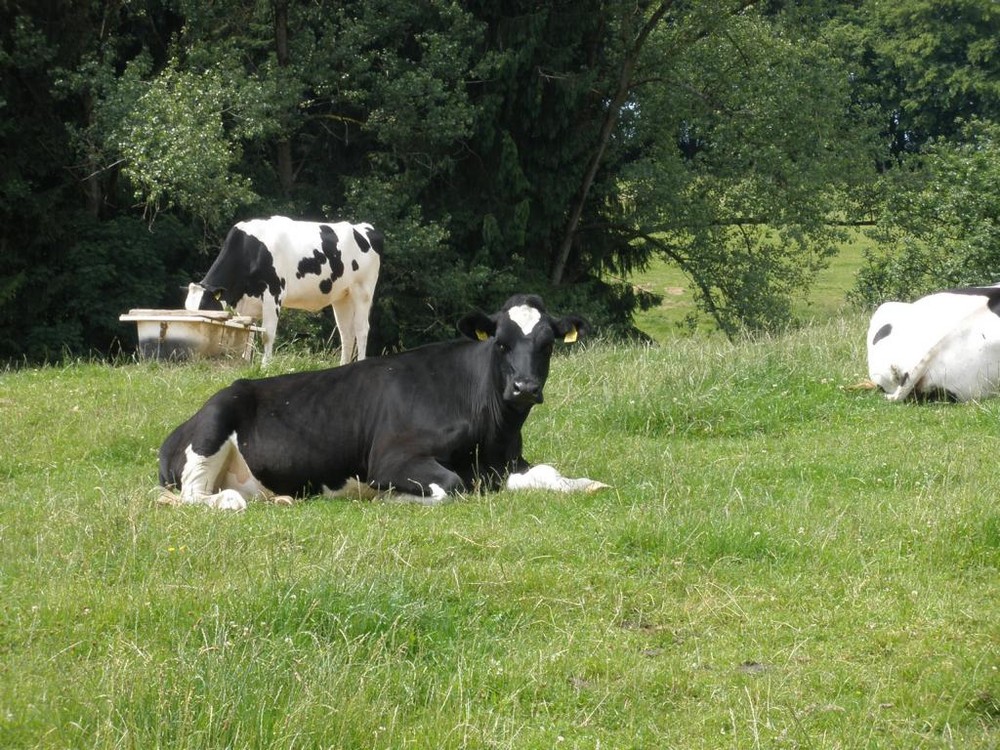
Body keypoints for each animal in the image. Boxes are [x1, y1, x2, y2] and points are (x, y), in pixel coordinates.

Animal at [158, 294, 608, 512]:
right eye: (501, 343)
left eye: (547, 345)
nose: (524, 387)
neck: (492, 432)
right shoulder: (390, 460)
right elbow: (452, 485)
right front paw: (390, 498)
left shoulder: (503, 464)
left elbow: (550, 473)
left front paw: (588, 483)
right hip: (215, 424)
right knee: (196, 496)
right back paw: (229, 501)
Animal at [186, 216, 380, 366]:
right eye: (187, 309)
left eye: (205, 307)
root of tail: (365, 228)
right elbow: (249, 332)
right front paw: (246, 361)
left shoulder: (273, 292)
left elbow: (267, 334)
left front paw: (265, 366)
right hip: (342, 297)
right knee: (346, 332)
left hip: (363, 291)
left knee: (362, 329)